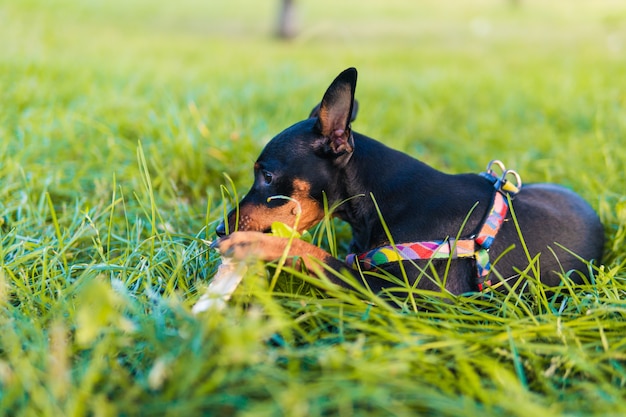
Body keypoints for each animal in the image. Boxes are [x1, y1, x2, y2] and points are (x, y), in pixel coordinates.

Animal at [213, 68, 600, 294]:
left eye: (266, 176)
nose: (220, 228)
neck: (379, 199)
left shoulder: (395, 296)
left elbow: (316, 254)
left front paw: (252, 244)